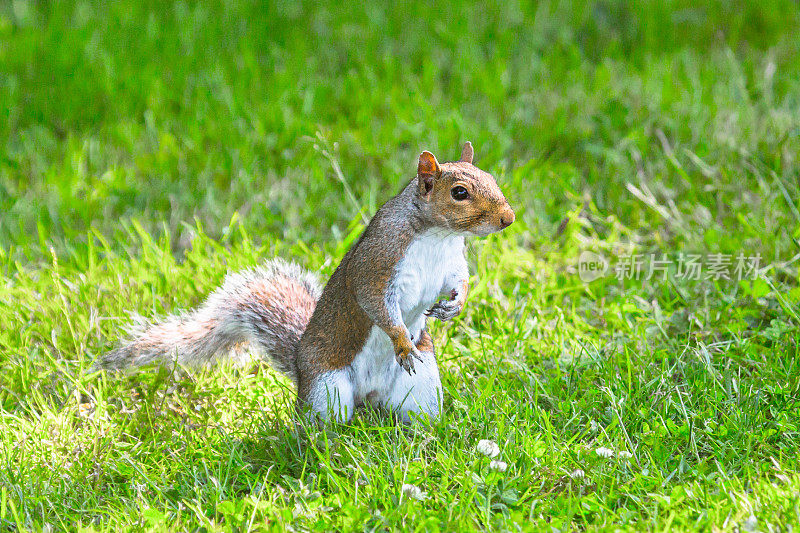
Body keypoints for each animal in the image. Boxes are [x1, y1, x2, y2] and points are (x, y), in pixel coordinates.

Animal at [100, 142, 516, 424]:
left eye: (493, 179)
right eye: (459, 193)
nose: (508, 218)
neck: (436, 235)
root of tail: (368, 397)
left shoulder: (451, 264)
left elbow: (459, 282)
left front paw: (454, 305)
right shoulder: (378, 263)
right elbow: (375, 302)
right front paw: (400, 341)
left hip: (423, 387)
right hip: (325, 388)